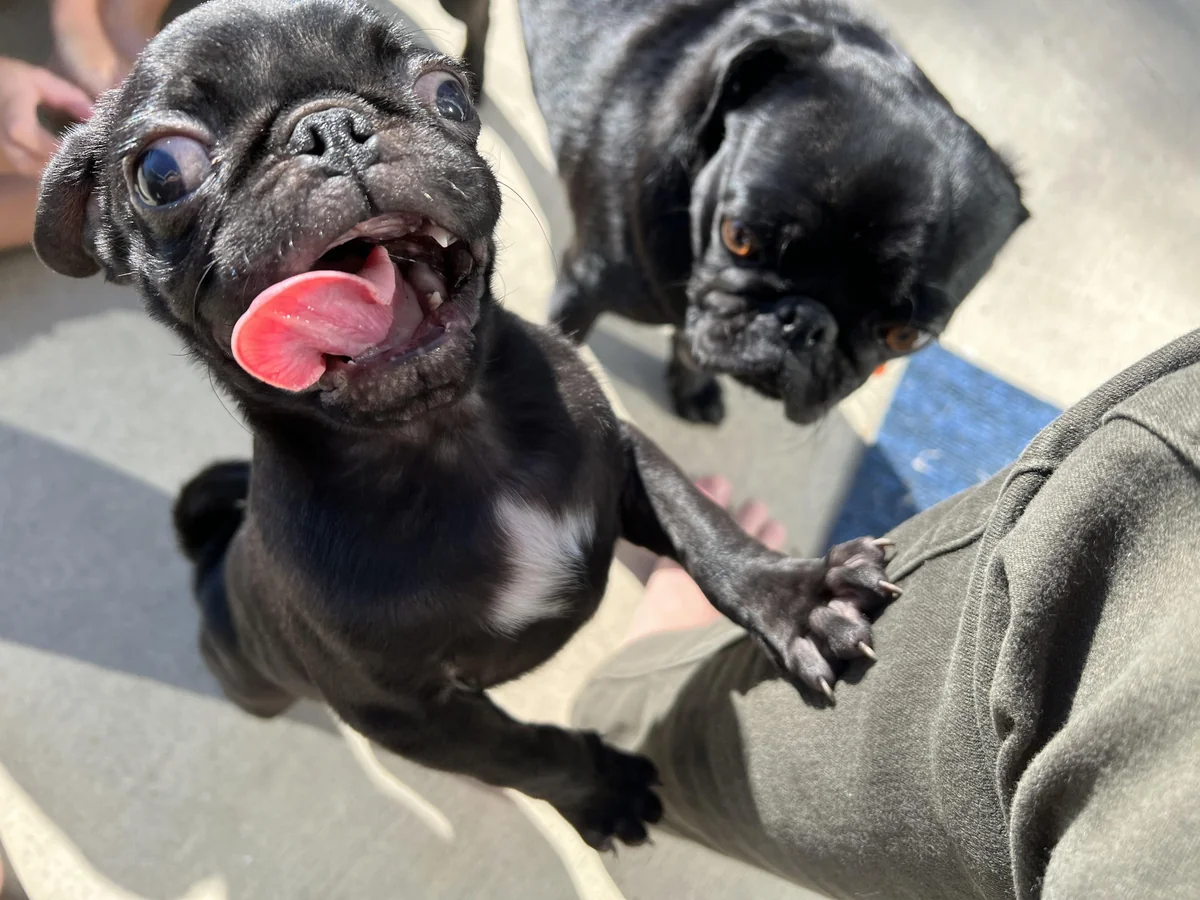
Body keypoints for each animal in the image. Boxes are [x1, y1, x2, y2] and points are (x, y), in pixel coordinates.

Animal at [34, 0, 900, 848]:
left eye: (448, 94)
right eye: (161, 174)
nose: (330, 127)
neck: (449, 432)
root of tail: (212, 556)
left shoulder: (627, 460)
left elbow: (707, 531)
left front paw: (796, 597)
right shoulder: (409, 713)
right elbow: (525, 752)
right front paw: (601, 793)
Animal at [441, 0, 1028, 424]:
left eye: (905, 338)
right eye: (738, 235)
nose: (804, 322)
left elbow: (693, 342)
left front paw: (693, 386)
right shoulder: (582, 289)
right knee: (478, 21)